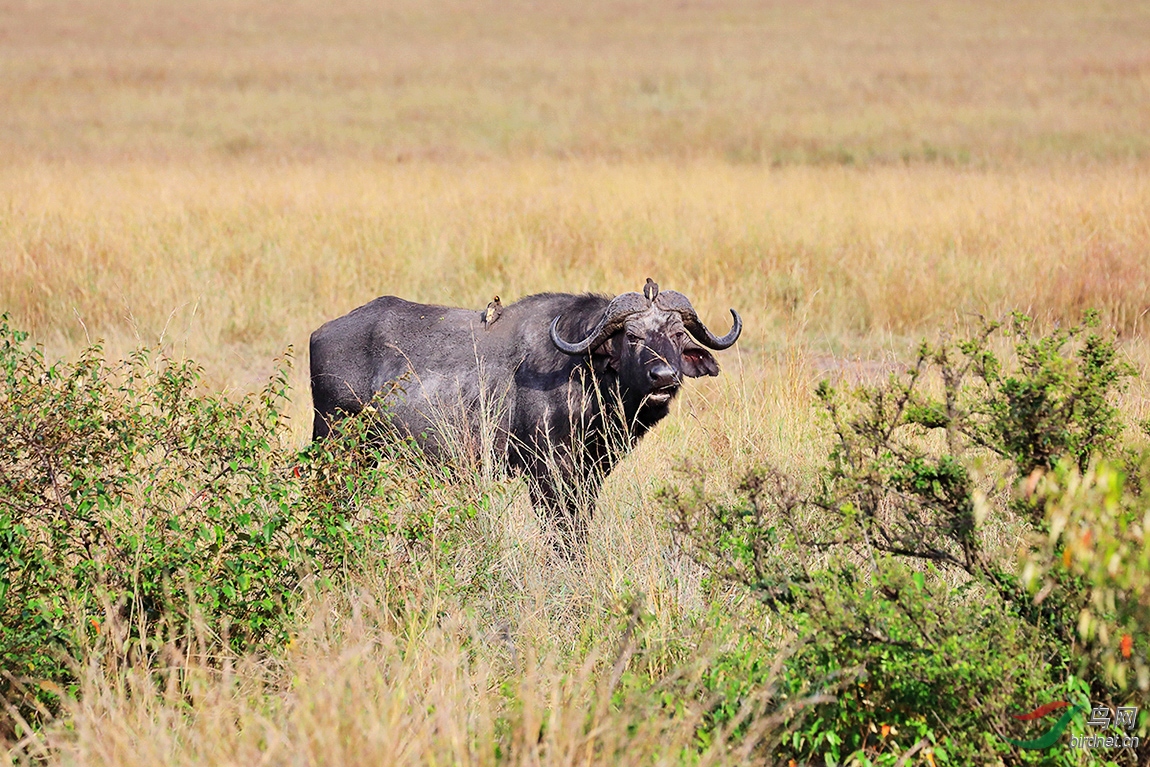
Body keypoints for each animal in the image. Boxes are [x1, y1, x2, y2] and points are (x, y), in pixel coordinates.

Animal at [310, 285, 740, 549]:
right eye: (632, 338)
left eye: (678, 336)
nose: (664, 377)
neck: (585, 373)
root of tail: (320, 333)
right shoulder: (546, 473)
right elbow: (562, 531)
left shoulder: (589, 474)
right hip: (335, 445)